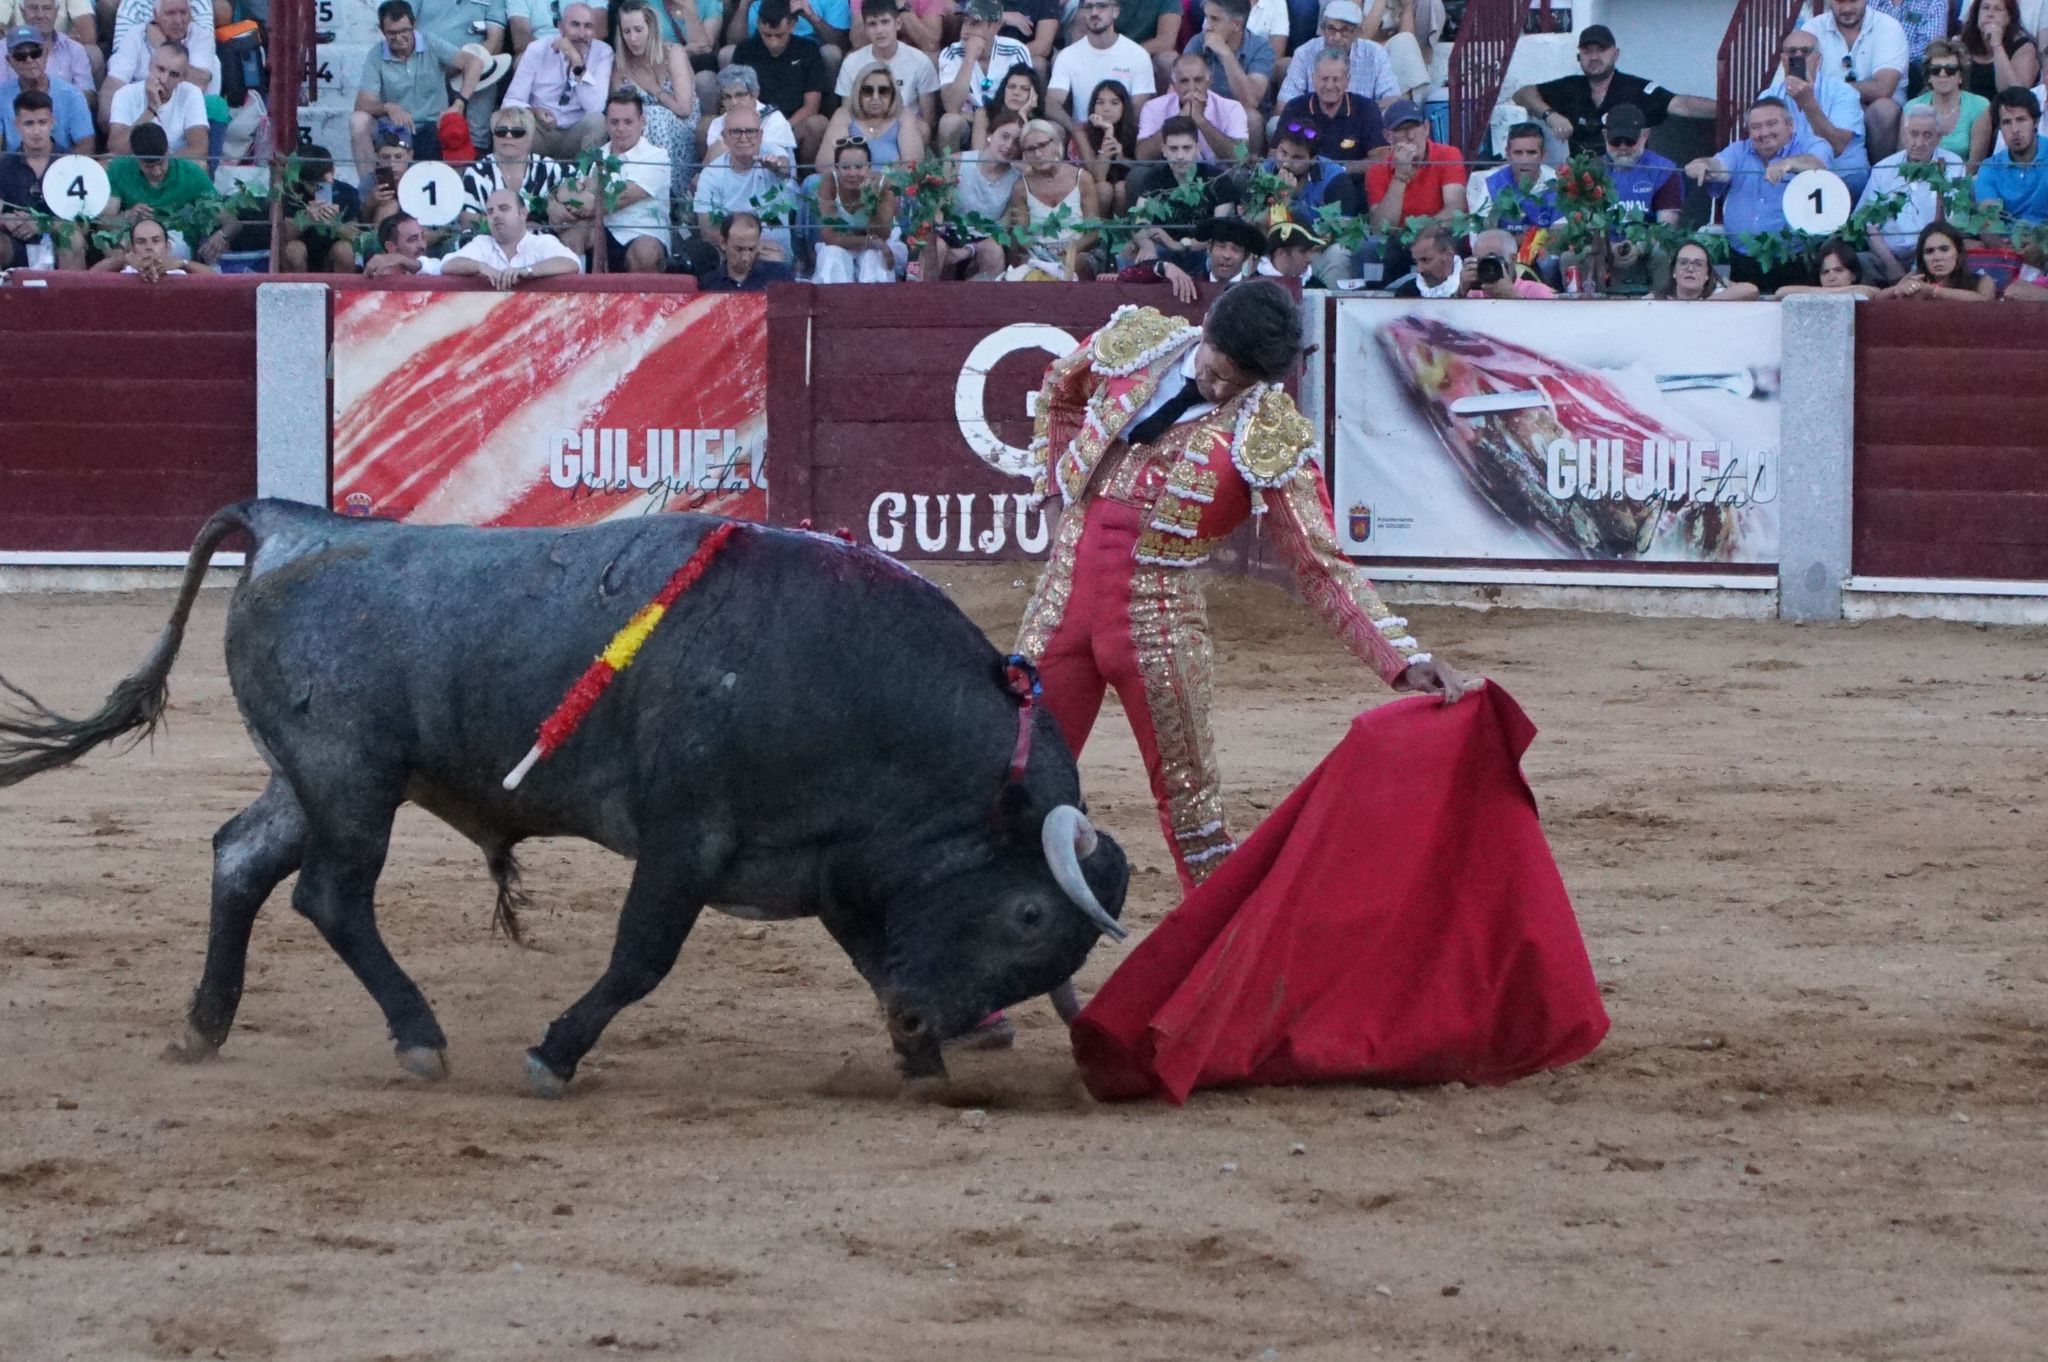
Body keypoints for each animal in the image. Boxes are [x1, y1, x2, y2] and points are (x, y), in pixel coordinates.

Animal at [0, 503, 1138, 1089]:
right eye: (1028, 914)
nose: (919, 1020)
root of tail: (290, 524)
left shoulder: (831, 866)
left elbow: (867, 948)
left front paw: (918, 1058)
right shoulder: (686, 838)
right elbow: (640, 958)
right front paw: (555, 1052)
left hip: (310, 776)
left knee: (239, 857)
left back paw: (204, 1026)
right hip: (350, 776)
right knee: (331, 896)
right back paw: (417, 1038)